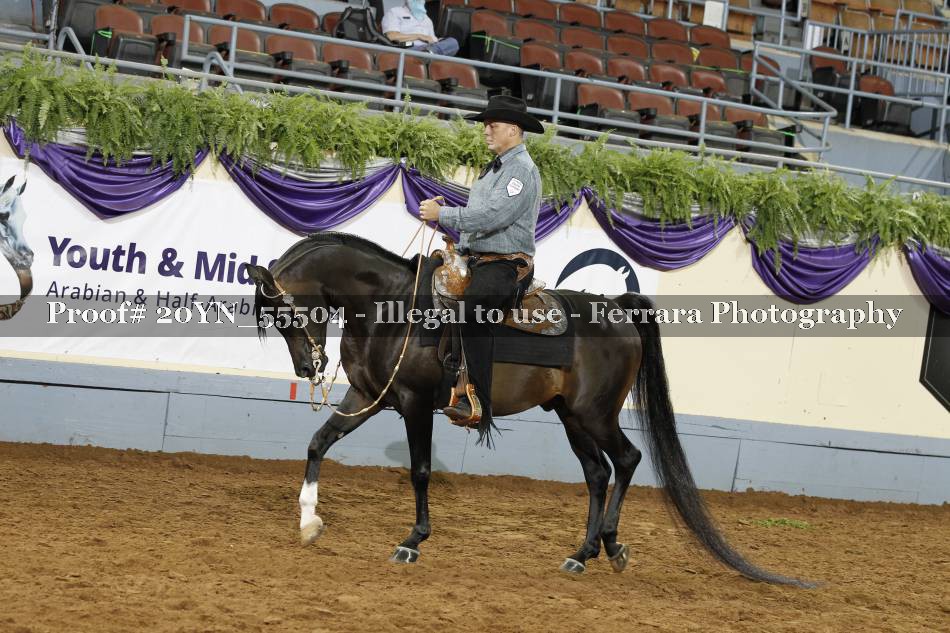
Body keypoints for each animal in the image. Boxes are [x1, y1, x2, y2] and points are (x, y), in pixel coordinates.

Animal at [246, 231, 811, 586]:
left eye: (284, 313)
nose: (309, 366)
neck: (393, 309)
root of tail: (615, 308)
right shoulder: (368, 397)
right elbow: (318, 443)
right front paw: (309, 521)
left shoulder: (415, 406)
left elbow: (420, 471)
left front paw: (412, 541)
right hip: (570, 416)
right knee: (597, 473)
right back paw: (584, 554)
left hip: (594, 414)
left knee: (626, 460)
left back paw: (609, 545)